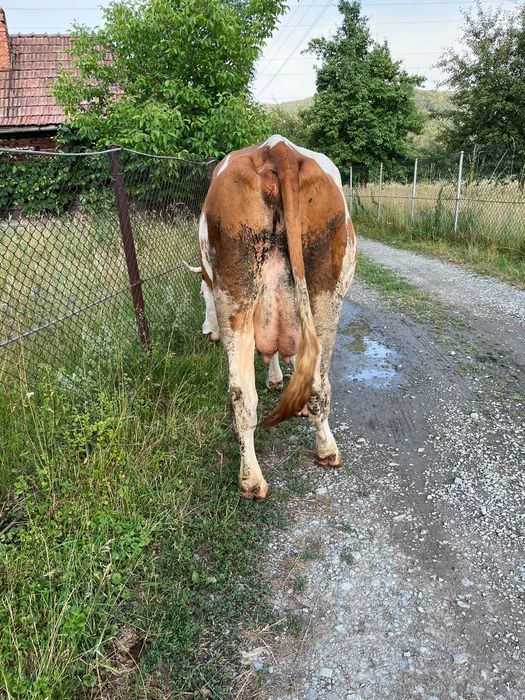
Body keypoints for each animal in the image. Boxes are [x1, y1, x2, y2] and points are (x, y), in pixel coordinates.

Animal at [193, 135, 356, 499]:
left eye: (202, 294)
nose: (206, 332)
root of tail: (276, 149)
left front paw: (276, 379)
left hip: (236, 295)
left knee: (240, 395)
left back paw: (251, 481)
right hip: (325, 297)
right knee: (319, 384)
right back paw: (327, 451)